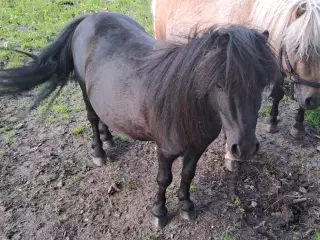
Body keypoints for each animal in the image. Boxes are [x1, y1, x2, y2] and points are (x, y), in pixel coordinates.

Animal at [0, 12, 278, 228]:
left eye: (262, 82)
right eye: (220, 83)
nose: (244, 148)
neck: (186, 105)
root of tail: (89, 17)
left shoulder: (197, 148)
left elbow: (188, 175)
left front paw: (186, 206)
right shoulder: (165, 151)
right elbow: (164, 180)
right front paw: (159, 214)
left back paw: (109, 139)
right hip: (82, 88)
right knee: (92, 119)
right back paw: (99, 151)